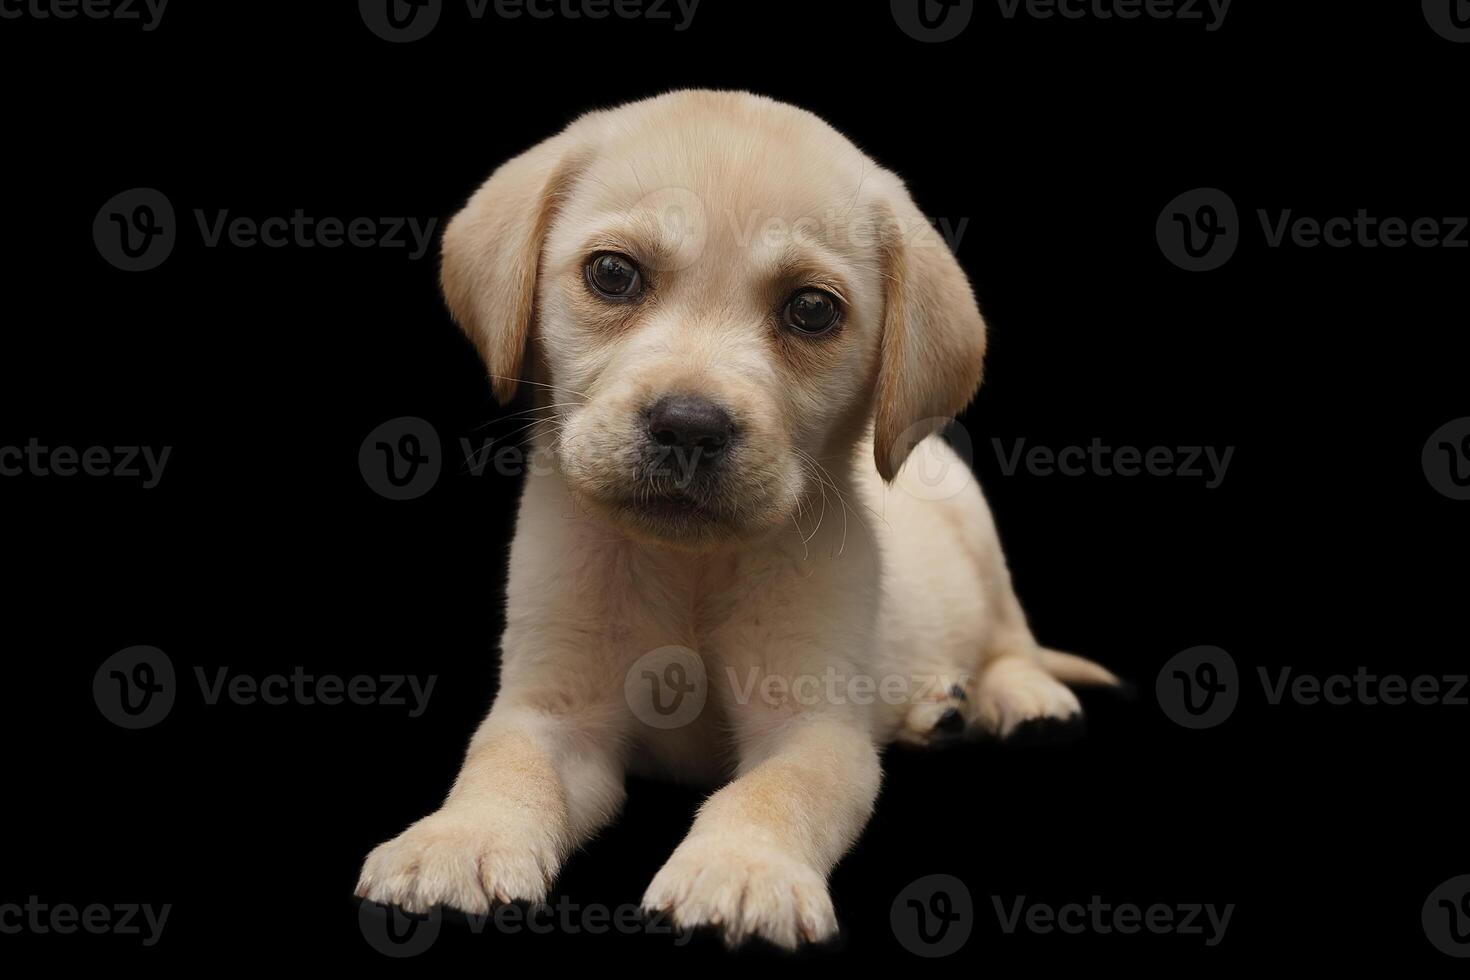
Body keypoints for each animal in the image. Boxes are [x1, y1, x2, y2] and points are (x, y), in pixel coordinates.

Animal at [355, 88, 1111, 946]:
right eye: (612, 274)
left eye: (812, 310)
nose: (688, 425)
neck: (688, 562)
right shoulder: (554, 709)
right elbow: (503, 763)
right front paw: (458, 839)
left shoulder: (812, 727)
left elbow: (771, 793)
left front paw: (743, 869)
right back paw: (933, 711)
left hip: (977, 529)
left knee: (1010, 638)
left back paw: (1022, 699)